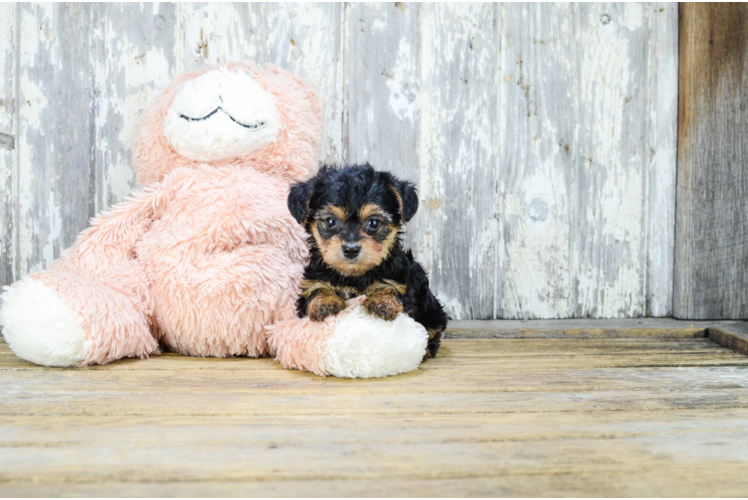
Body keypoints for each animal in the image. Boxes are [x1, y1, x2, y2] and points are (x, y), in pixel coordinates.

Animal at [290, 164, 448, 360]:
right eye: (331, 221)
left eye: (373, 223)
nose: (351, 249)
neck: (354, 274)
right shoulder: (310, 284)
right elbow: (317, 289)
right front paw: (324, 303)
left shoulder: (401, 282)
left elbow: (392, 288)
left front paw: (382, 302)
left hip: (431, 309)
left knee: (433, 330)